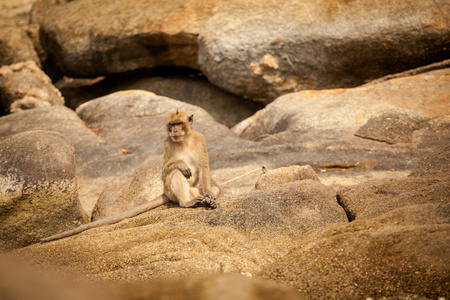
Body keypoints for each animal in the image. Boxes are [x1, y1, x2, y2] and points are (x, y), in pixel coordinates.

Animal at [40, 110, 220, 244]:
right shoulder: (167, 142)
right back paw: (187, 203)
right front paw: (181, 164)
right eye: (172, 125)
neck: (183, 140)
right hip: (171, 191)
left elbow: (204, 166)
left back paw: (205, 199)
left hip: (196, 189)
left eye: (179, 124)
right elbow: (165, 172)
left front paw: (209, 194)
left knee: (214, 187)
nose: (174, 130)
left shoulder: (199, 139)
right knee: (176, 174)